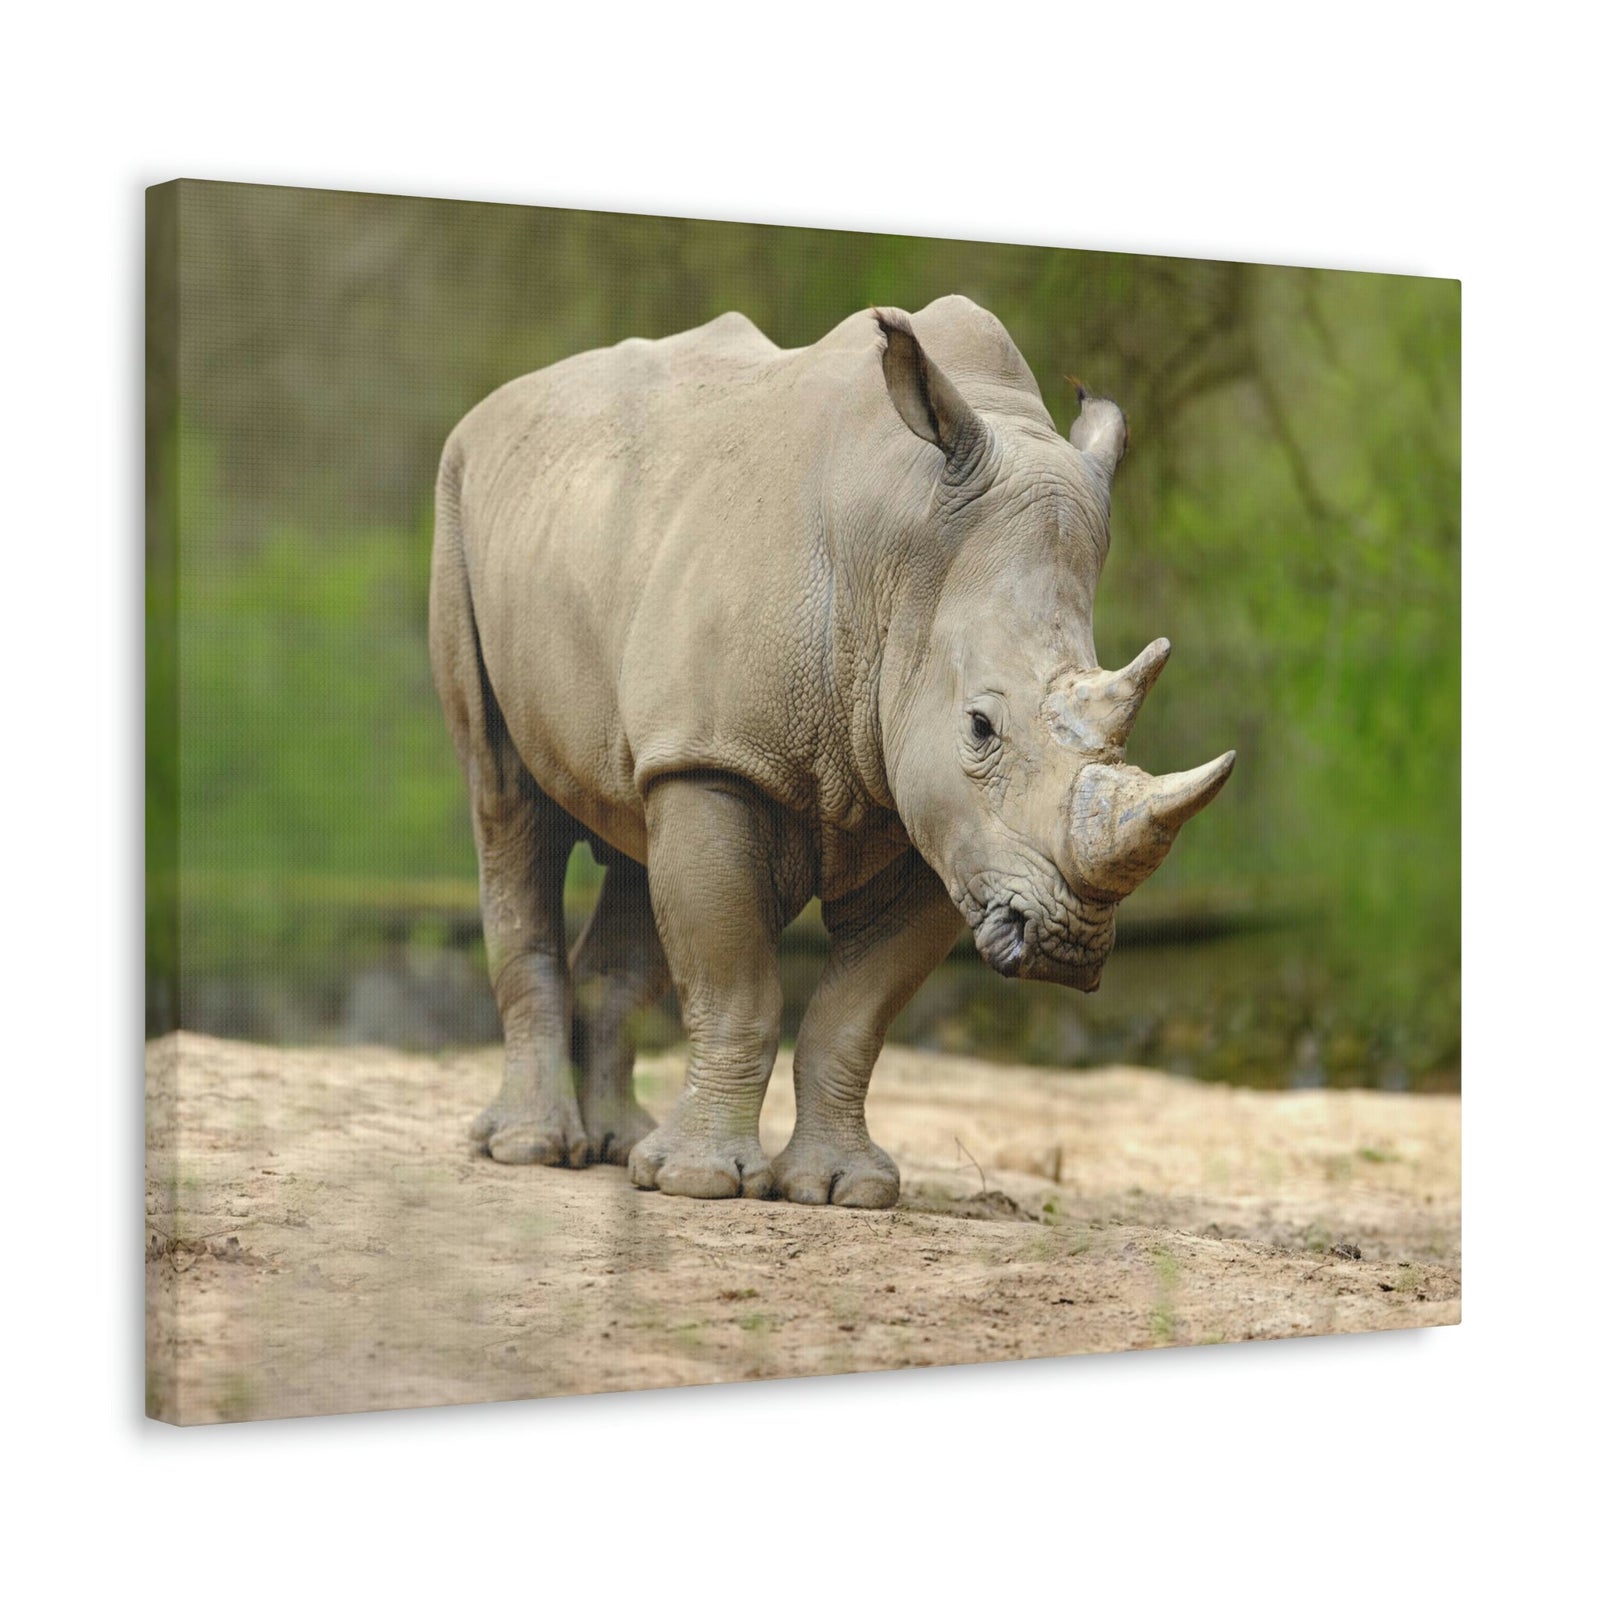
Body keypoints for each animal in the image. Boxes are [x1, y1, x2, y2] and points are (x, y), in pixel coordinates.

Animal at [430, 294, 1233, 1208]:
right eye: (980, 728)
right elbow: (736, 984)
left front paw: (843, 1189)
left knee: (633, 823)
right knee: (506, 803)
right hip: (461, 500)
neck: (904, 561)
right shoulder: (724, 758)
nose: (1065, 944)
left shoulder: (946, 825)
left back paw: (616, 1145)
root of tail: (505, 401)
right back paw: (532, 1149)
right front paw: (698, 1184)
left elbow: (855, 1015)